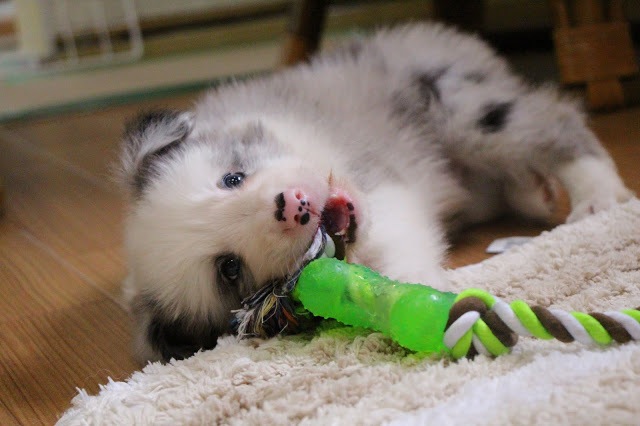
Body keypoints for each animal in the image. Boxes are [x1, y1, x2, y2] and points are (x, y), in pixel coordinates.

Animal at [117, 22, 632, 362]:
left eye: (232, 179)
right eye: (228, 269)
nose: (294, 206)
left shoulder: (378, 181)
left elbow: (396, 238)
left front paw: (420, 286)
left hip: (463, 108)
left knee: (556, 122)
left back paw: (598, 196)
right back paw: (535, 192)